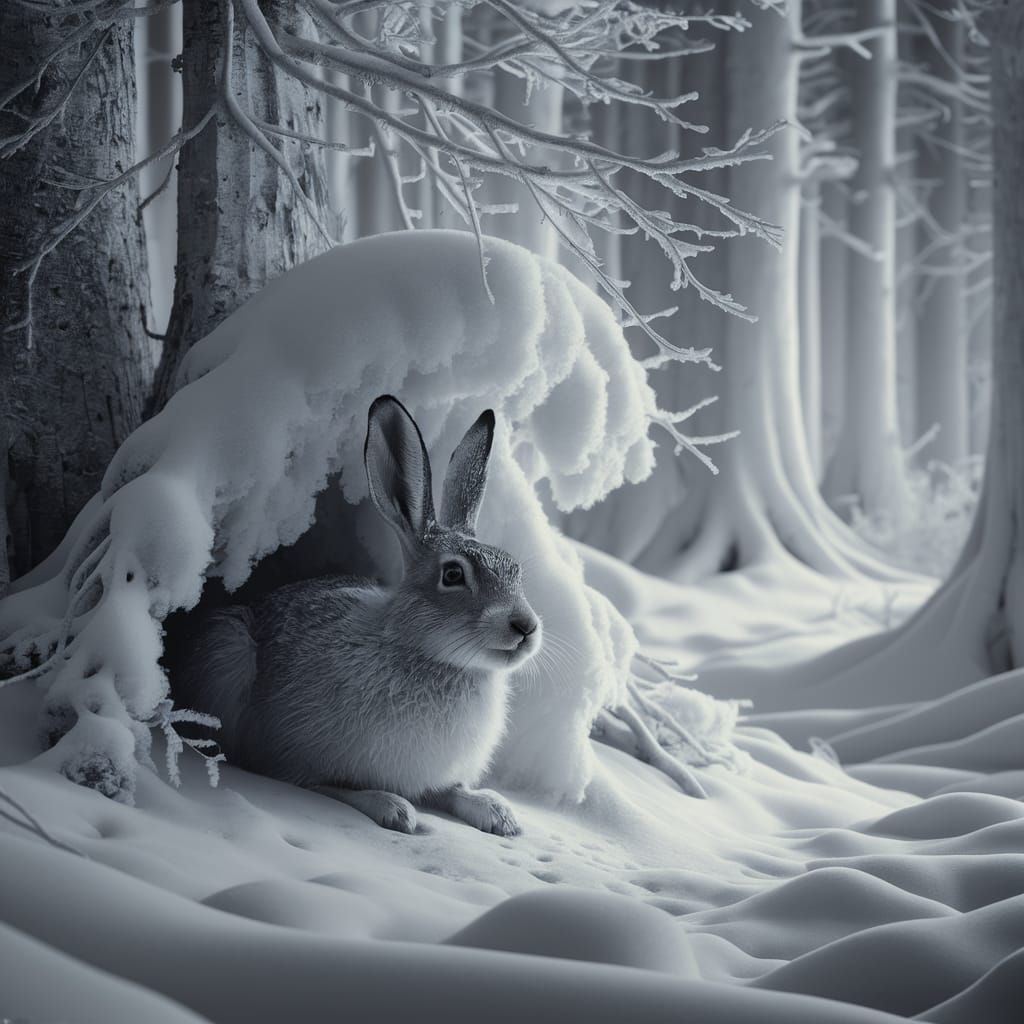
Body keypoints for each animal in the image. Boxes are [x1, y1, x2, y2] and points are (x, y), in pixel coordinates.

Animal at [175, 395, 541, 836]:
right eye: (453, 575)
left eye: (515, 571)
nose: (526, 627)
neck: (429, 655)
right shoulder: (298, 756)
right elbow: (324, 785)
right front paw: (393, 808)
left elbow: (452, 790)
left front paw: (498, 813)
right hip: (227, 647)